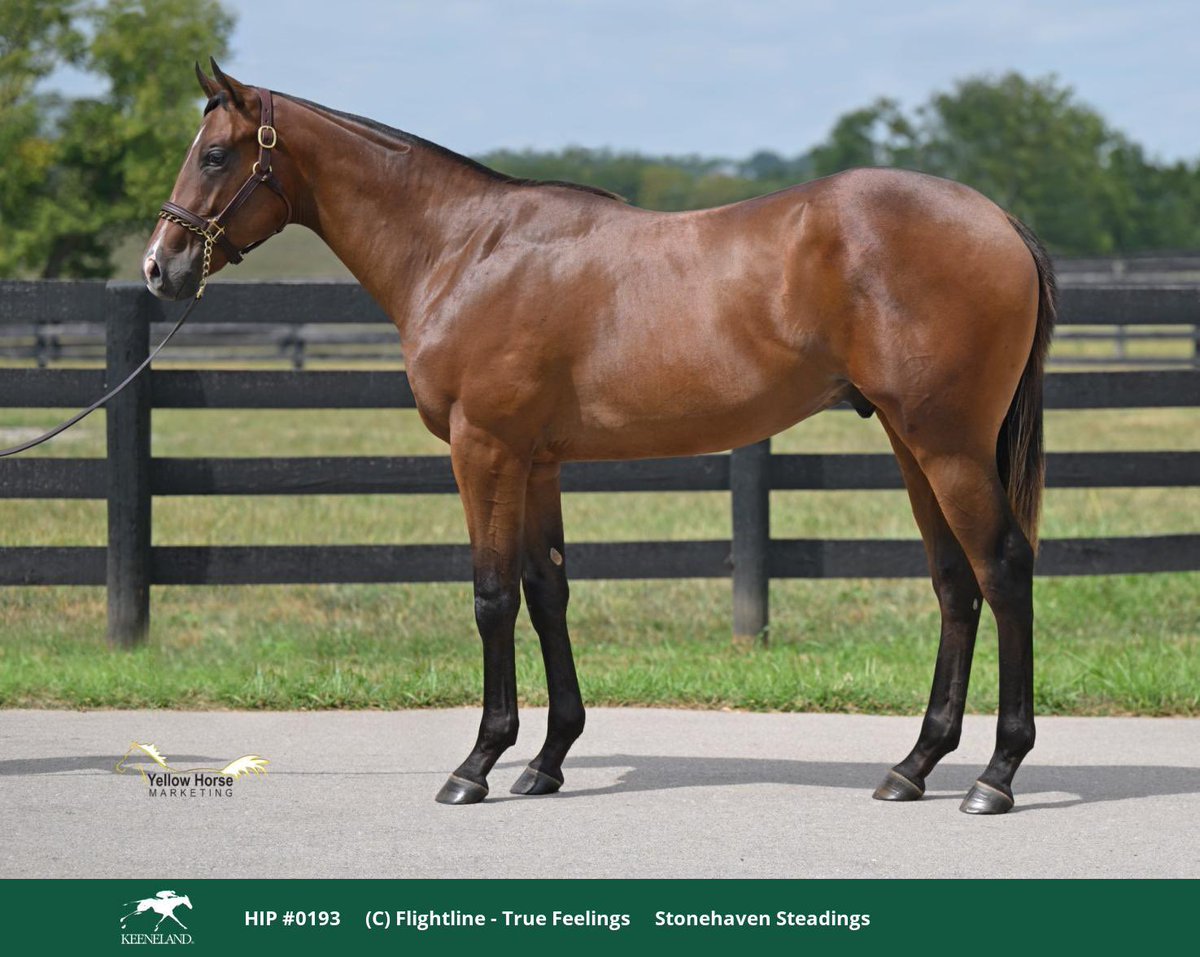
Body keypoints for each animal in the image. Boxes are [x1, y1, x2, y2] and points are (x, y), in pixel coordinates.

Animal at [143, 60, 1056, 815]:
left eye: (216, 155)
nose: (160, 266)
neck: (465, 248)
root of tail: (1002, 219)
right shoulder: (538, 463)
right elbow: (547, 592)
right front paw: (545, 760)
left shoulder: (484, 450)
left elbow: (492, 596)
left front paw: (476, 764)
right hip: (913, 443)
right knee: (955, 583)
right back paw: (915, 765)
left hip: (946, 444)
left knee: (1003, 568)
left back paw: (996, 775)